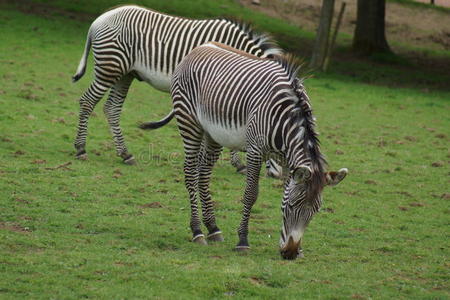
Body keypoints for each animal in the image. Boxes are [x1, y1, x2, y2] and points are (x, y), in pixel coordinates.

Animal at [72, 5, 284, 176]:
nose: (278, 175)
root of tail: (100, 18)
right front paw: (234, 163)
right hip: (110, 67)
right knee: (87, 101)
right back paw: (81, 149)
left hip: (125, 73)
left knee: (112, 109)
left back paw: (125, 154)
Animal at [169, 42, 348, 260]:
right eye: (292, 206)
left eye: (315, 211)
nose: (290, 253)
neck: (286, 119)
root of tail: (200, 47)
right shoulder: (255, 151)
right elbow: (251, 194)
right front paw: (243, 241)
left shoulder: (287, 160)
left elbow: (283, 193)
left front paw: (293, 247)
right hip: (189, 122)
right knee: (190, 173)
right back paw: (197, 231)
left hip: (214, 134)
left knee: (203, 174)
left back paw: (213, 228)